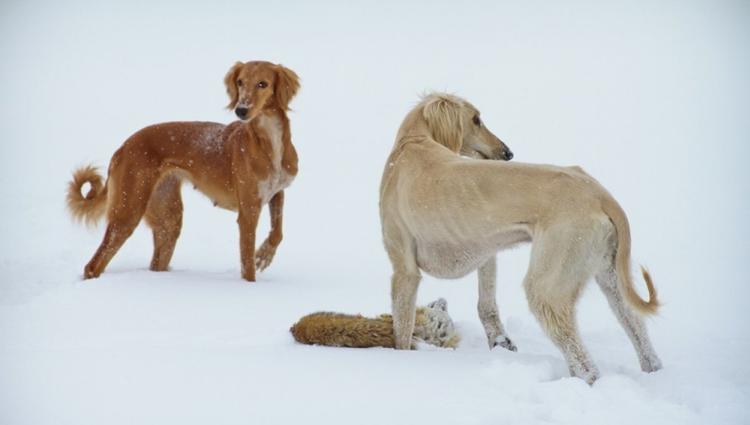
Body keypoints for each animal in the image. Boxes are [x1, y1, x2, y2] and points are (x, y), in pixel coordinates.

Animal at [67, 58, 302, 278]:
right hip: (128, 210)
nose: (241, 110)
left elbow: (278, 232)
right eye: (240, 82)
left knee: (156, 263)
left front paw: (264, 255)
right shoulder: (248, 212)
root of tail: (123, 147)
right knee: (93, 265)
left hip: (168, 219)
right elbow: (248, 266)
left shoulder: (276, 192)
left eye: (263, 84)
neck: (269, 141)